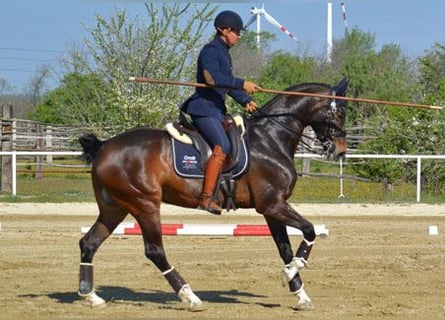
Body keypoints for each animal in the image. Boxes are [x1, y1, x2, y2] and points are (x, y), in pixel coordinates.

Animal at [77, 79, 346, 312]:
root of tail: (104, 146)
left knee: (89, 243)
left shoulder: (273, 209)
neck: (270, 139)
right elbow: (309, 230)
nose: (340, 151)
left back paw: (91, 296)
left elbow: (285, 250)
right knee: (154, 251)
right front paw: (291, 272)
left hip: (115, 208)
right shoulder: (272, 205)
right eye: (340, 113)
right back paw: (190, 296)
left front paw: (300, 294)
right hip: (145, 204)